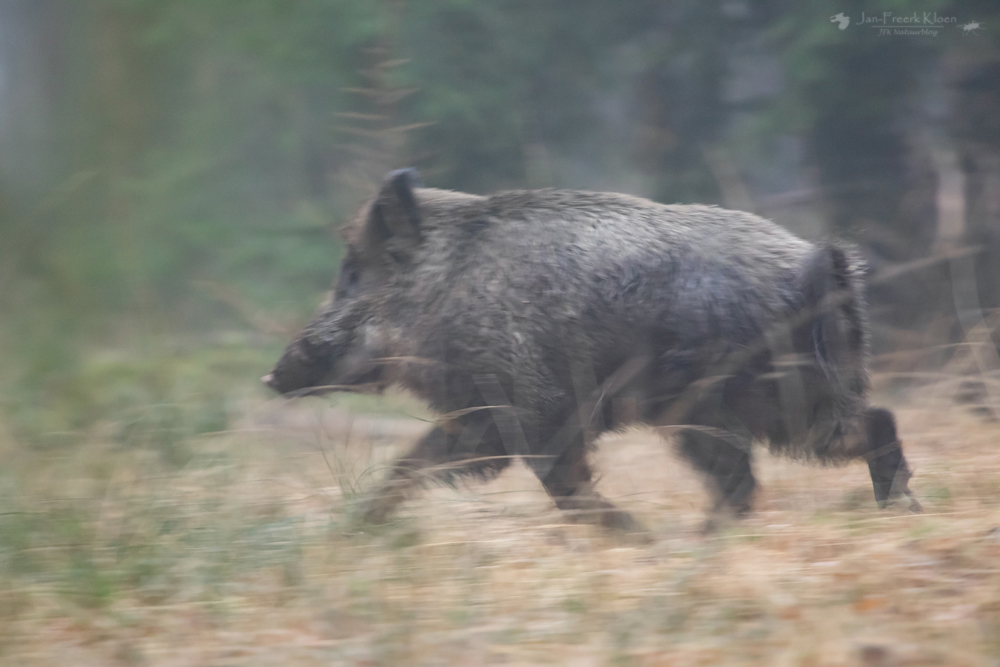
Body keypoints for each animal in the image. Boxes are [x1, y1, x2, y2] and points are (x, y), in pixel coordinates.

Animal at [264, 168, 920, 533]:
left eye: (353, 274)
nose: (271, 378)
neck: (443, 290)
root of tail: (818, 266)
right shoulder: (500, 417)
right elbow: (423, 462)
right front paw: (354, 530)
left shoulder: (523, 409)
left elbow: (550, 482)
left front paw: (633, 533)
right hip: (766, 399)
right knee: (839, 437)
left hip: (747, 399)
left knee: (821, 445)